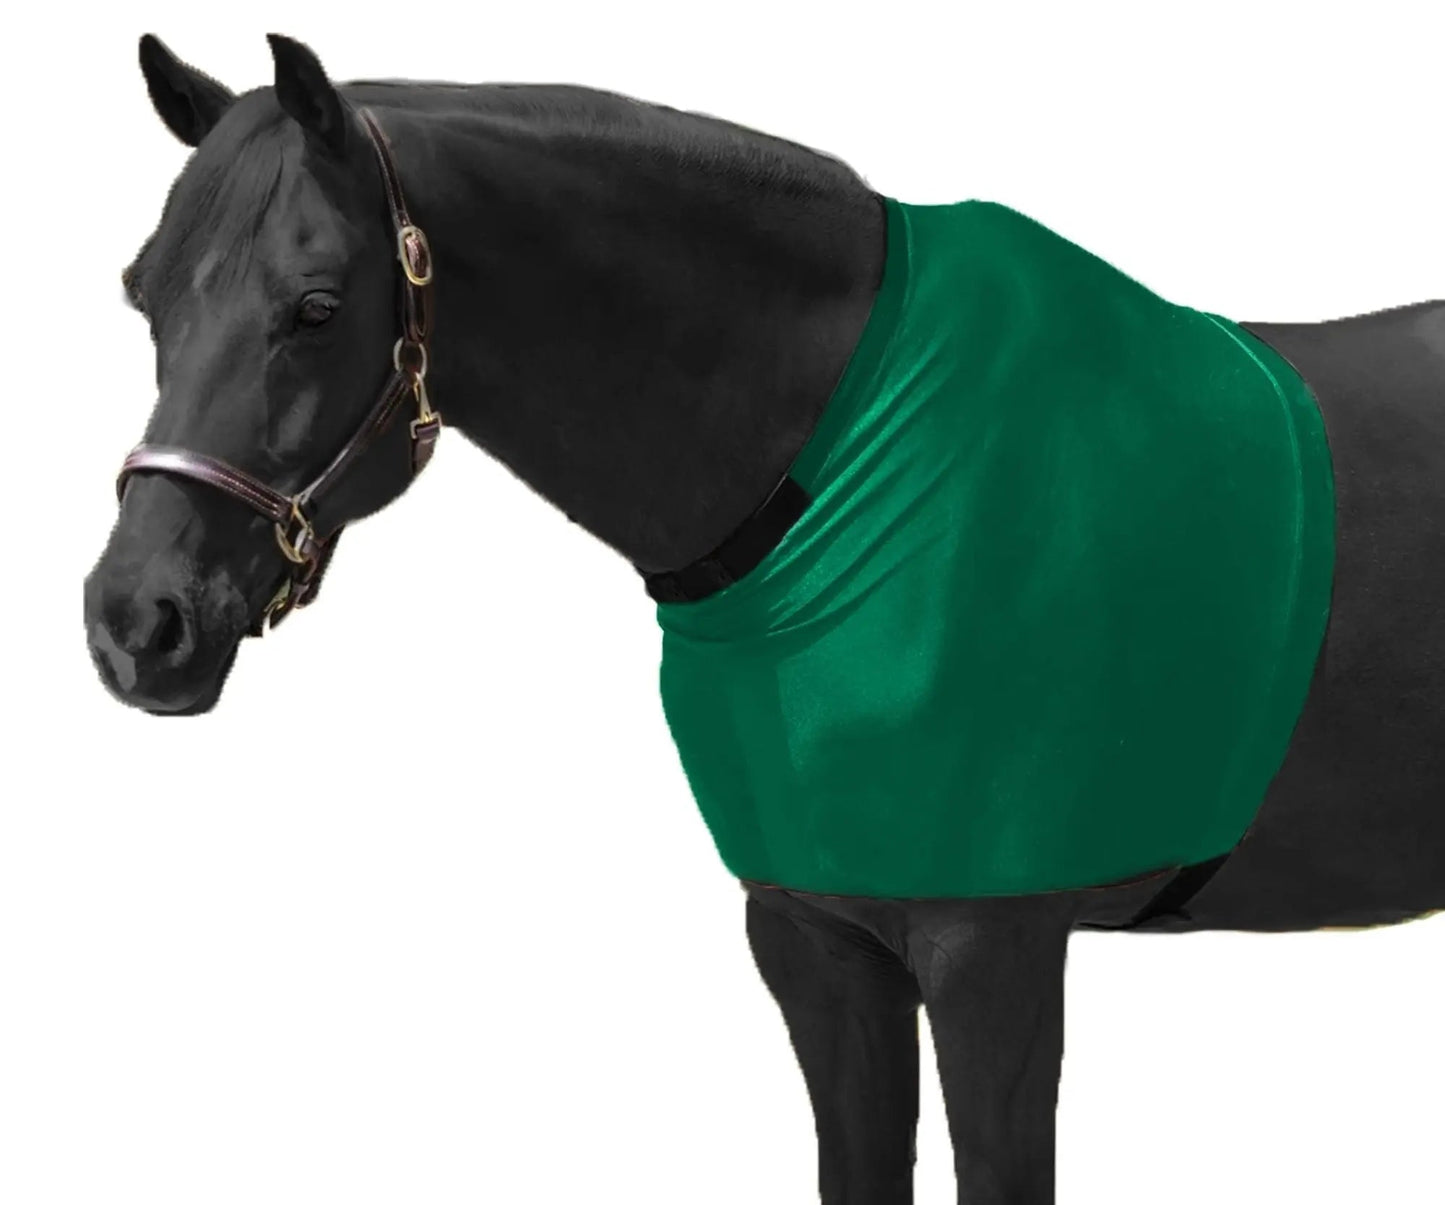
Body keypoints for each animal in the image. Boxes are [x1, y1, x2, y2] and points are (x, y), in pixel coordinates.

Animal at [84, 33, 1444, 1205]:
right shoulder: (814, 937)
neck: (834, 467)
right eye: (143, 295)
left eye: (316, 304)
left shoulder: (992, 951)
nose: (136, 620)